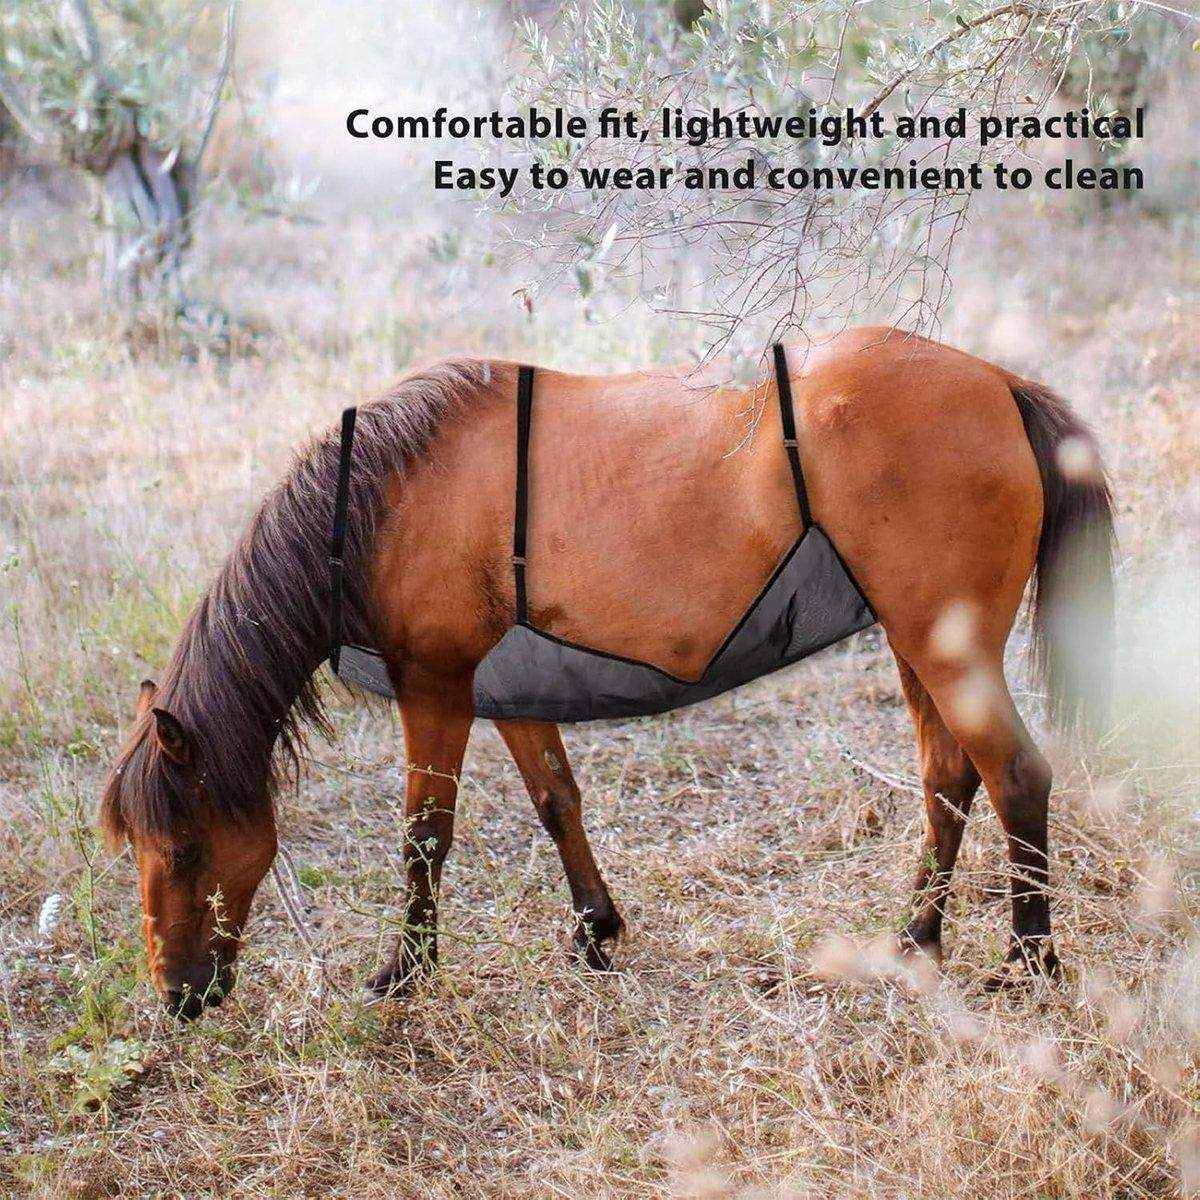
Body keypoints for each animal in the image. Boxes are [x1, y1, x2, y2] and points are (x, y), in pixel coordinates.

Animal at [99, 326, 1114, 1019]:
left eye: (184, 848)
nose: (177, 998)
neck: (383, 499)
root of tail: (1001, 383)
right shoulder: (506, 693)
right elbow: (557, 800)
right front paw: (596, 929)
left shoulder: (435, 689)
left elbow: (426, 833)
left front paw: (407, 970)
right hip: (915, 647)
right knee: (950, 780)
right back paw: (914, 943)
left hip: (946, 650)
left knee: (1015, 777)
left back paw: (1028, 963)